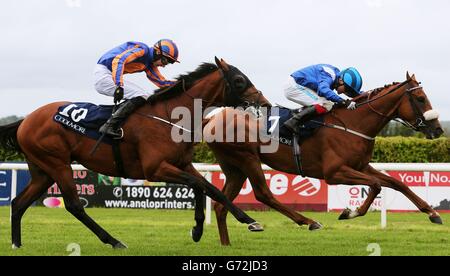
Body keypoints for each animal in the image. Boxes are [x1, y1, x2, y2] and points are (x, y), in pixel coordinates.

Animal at [0, 57, 268, 249]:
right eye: (239, 80)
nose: (264, 102)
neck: (171, 117)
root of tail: (25, 120)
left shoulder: (183, 164)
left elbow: (210, 189)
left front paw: (239, 222)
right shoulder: (155, 169)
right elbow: (200, 186)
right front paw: (204, 228)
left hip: (43, 170)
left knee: (18, 203)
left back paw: (16, 244)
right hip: (58, 165)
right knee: (74, 206)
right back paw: (114, 241)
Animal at [206, 72, 444, 245]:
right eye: (421, 99)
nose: (438, 129)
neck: (354, 124)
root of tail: (211, 119)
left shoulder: (361, 166)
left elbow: (397, 183)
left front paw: (432, 213)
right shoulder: (334, 172)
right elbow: (376, 185)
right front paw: (350, 212)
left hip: (234, 167)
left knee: (220, 205)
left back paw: (226, 244)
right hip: (247, 159)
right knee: (263, 194)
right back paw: (309, 221)